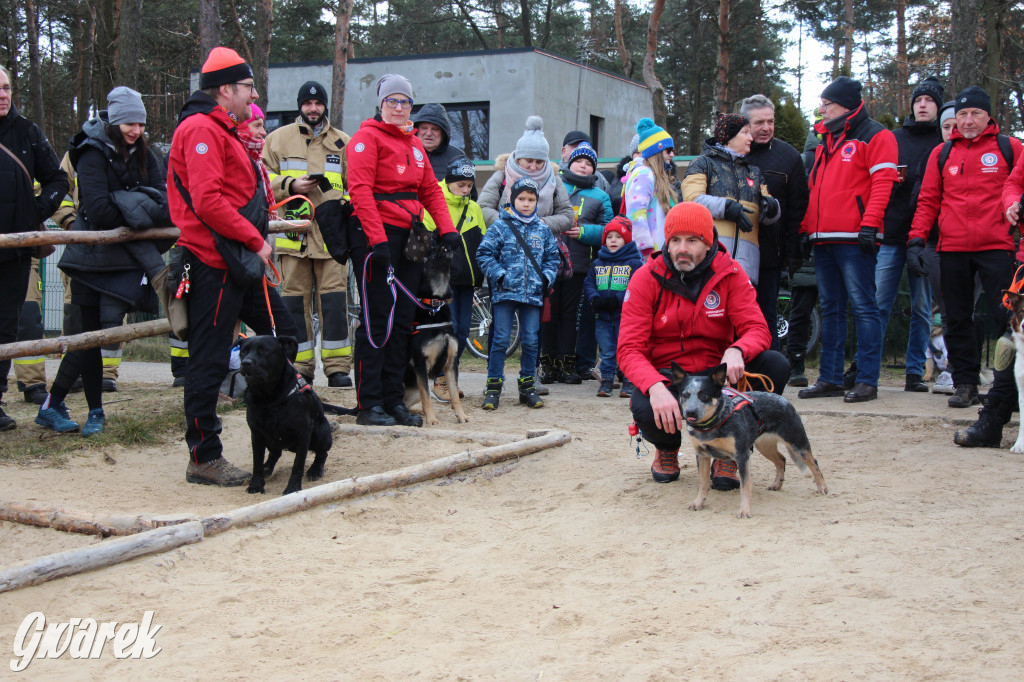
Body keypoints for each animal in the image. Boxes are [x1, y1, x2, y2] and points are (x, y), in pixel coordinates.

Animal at [239, 333, 335, 493]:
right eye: (243, 351)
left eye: (264, 350)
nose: (246, 363)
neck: (269, 398)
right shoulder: (256, 434)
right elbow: (256, 463)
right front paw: (256, 485)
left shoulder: (303, 433)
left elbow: (298, 465)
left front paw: (293, 488)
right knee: (275, 453)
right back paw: (267, 468)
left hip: (320, 432)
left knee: (323, 453)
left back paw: (315, 470)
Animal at [405, 241, 468, 421]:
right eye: (429, 254)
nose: (443, 244)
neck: (435, 305)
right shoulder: (420, 364)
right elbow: (427, 395)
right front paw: (432, 420)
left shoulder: (451, 364)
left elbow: (454, 396)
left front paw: (461, 416)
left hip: (413, 391)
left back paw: (416, 413)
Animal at [671, 360, 823, 516]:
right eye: (685, 395)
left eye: (704, 395)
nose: (690, 412)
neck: (712, 424)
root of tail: (784, 400)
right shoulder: (702, 455)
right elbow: (703, 483)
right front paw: (698, 502)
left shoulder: (742, 456)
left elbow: (745, 487)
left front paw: (744, 510)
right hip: (764, 446)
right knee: (781, 460)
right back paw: (777, 484)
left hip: (797, 443)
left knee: (814, 462)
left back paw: (822, 488)